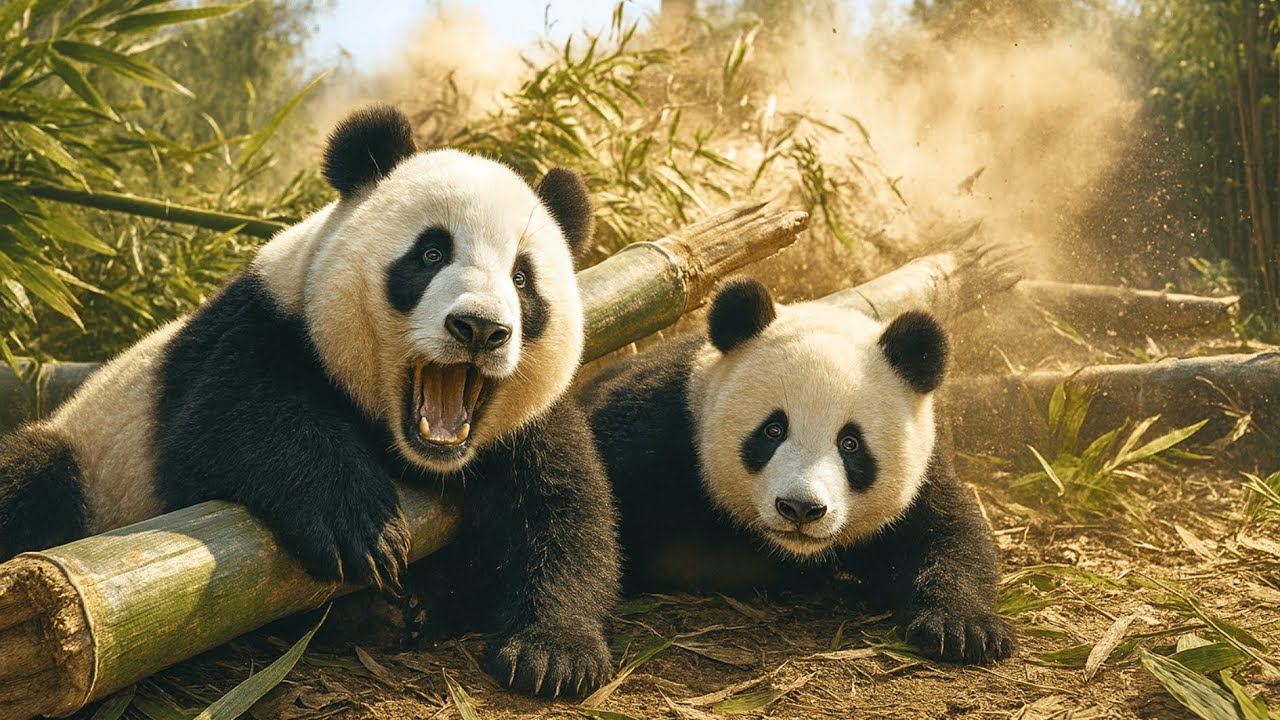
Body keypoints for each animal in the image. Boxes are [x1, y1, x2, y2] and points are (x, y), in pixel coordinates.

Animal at [0, 105, 619, 697]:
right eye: (430, 253)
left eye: (522, 278)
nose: (480, 328)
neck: (410, 450)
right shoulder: (259, 329)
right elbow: (232, 428)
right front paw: (363, 530)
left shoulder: (531, 419)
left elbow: (564, 509)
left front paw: (555, 655)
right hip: (89, 462)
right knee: (33, 475)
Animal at [580, 278, 1015, 664]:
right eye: (773, 430)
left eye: (850, 444)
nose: (801, 508)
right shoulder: (658, 428)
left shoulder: (920, 475)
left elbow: (947, 533)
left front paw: (962, 629)